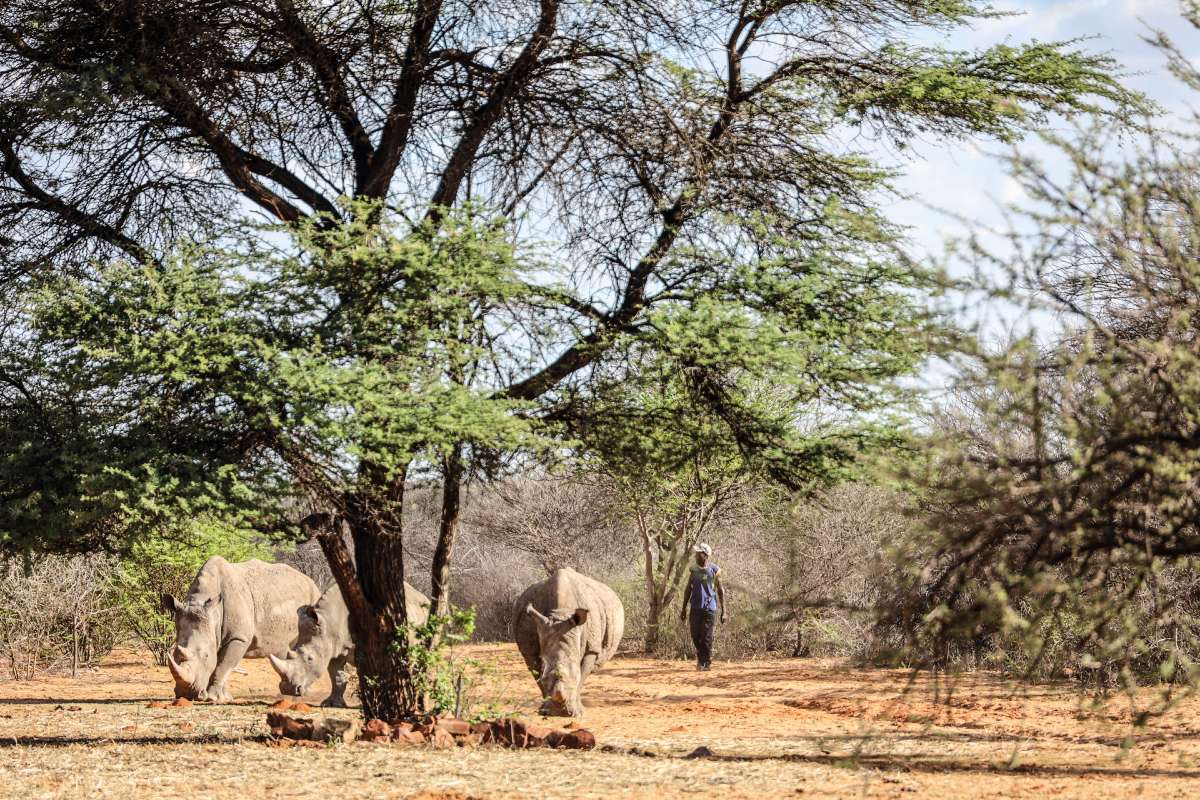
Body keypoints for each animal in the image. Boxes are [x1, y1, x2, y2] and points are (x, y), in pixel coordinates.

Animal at [164, 556, 324, 700]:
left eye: (206, 656)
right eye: (174, 654)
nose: (186, 695)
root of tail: (311, 581)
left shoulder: (238, 637)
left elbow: (223, 665)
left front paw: (213, 697)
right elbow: (222, 664)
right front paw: (225, 697)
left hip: (314, 601)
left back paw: (303, 693)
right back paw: (289, 692)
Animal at [268, 582, 432, 705]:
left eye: (310, 659)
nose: (288, 690)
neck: (329, 622)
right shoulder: (333, 647)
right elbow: (336, 676)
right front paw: (332, 704)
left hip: (426, 617)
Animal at [511, 566, 624, 714]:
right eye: (545, 677)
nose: (559, 712)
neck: (561, 613)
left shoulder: (592, 648)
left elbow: (582, 675)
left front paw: (577, 712)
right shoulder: (529, 649)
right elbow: (537, 675)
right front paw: (545, 710)